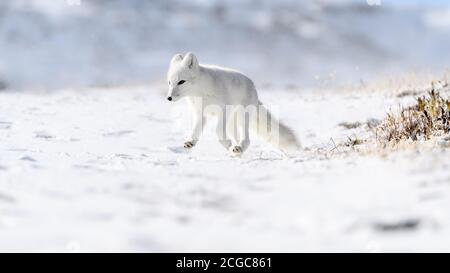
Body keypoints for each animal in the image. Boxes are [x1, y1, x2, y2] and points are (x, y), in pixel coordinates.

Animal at [165, 52, 298, 154]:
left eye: (181, 82)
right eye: (169, 82)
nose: (169, 98)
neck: (200, 93)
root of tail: (252, 85)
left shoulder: (224, 111)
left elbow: (218, 131)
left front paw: (227, 143)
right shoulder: (200, 113)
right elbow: (195, 130)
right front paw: (191, 141)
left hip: (241, 117)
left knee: (246, 139)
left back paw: (238, 148)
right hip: (231, 124)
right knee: (237, 137)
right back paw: (236, 151)